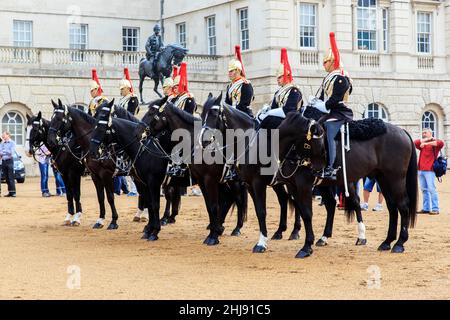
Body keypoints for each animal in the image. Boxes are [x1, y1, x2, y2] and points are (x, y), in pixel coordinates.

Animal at [47, 100, 119, 230]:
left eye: (59, 118)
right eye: (51, 118)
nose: (50, 140)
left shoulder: (101, 174)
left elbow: (109, 197)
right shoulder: (79, 175)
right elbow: (96, 197)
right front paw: (99, 220)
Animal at [145, 101, 248, 244]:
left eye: (151, 113)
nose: (142, 132)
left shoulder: (208, 179)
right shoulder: (199, 180)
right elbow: (208, 205)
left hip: (234, 181)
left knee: (238, 199)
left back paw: (236, 228)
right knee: (229, 199)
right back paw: (220, 226)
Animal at [278, 108, 418, 258]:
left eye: (321, 141)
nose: (316, 168)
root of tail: (402, 131)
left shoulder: (304, 186)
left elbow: (306, 213)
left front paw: (306, 247)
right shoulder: (293, 186)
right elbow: (301, 209)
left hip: (396, 179)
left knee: (402, 206)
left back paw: (399, 243)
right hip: (383, 179)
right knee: (391, 206)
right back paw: (387, 241)